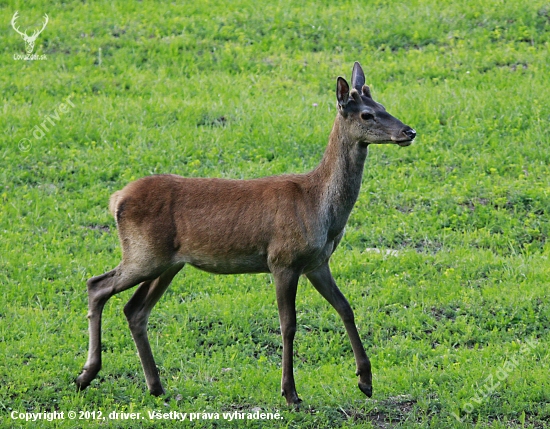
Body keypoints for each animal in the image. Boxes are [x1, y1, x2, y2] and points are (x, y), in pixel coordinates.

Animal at [75, 61, 416, 402]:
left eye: (383, 106)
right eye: (367, 115)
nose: (409, 131)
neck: (319, 207)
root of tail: (116, 199)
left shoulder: (317, 263)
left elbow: (345, 307)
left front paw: (365, 380)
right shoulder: (282, 259)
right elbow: (288, 324)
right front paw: (290, 393)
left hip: (168, 263)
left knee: (134, 310)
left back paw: (155, 385)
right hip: (144, 253)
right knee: (97, 285)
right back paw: (86, 374)